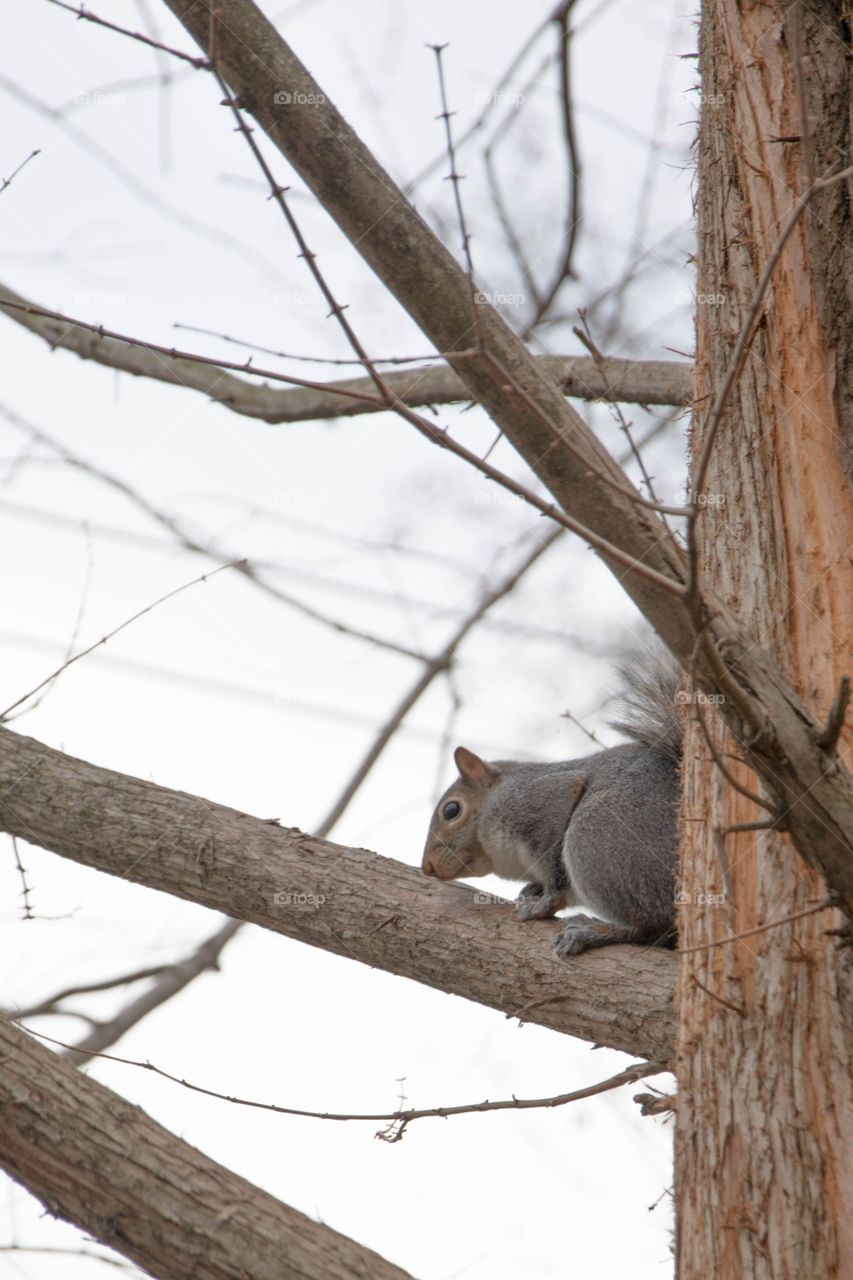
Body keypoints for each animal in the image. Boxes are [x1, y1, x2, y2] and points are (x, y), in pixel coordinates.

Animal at [422, 645, 681, 957]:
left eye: (451, 810)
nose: (427, 868)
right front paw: (531, 889)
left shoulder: (541, 800)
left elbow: (554, 872)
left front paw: (545, 903)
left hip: (597, 840)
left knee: (653, 925)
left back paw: (592, 932)